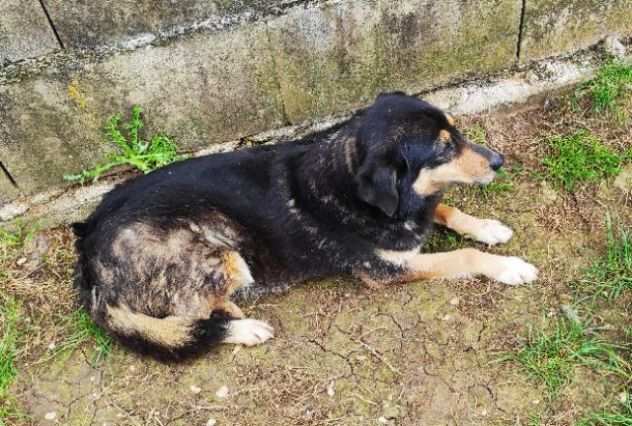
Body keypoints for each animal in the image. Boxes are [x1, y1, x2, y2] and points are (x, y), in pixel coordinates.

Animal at [73, 92, 540, 360]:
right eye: (444, 149)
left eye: (456, 134)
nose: (499, 161)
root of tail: (89, 263)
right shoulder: (386, 270)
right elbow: (463, 255)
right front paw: (510, 267)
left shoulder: (416, 214)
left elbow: (447, 211)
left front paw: (488, 227)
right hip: (220, 254)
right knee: (192, 315)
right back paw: (242, 327)